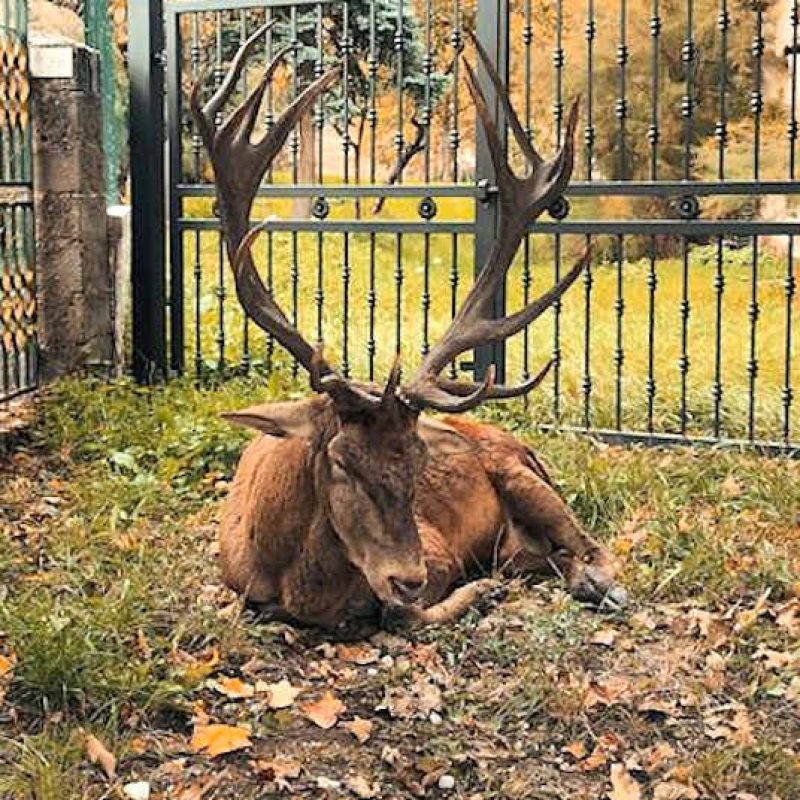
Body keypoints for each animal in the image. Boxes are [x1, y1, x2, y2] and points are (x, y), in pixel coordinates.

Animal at [191, 23, 628, 632]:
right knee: (539, 555)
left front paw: (477, 593)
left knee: (588, 542)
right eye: (342, 462)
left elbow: (403, 613)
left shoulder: (437, 550)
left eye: (420, 459)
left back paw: (597, 583)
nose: (408, 575)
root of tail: (519, 444)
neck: (290, 581)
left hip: (526, 479)